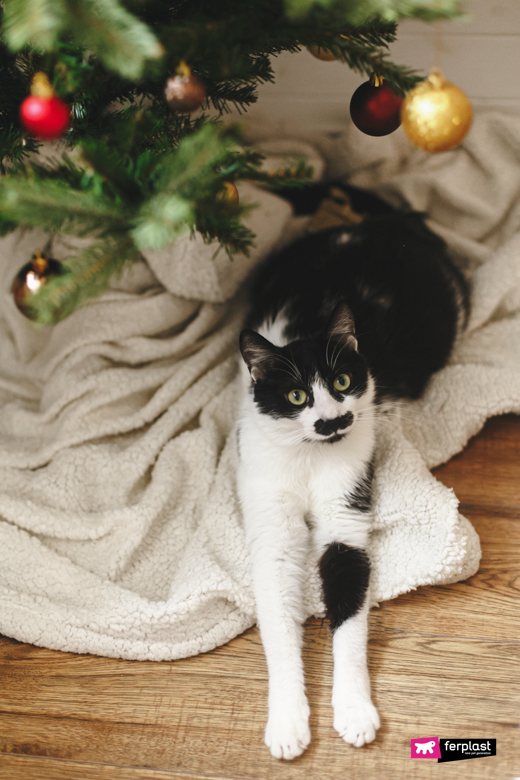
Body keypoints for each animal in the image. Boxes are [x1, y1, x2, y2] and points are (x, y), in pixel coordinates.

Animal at [238, 186, 470, 760]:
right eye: (296, 395)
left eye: (342, 382)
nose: (333, 419)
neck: (309, 457)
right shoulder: (270, 521)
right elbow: (279, 626)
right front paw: (288, 721)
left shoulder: (346, 517)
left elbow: (348, 617)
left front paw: (354, 711)